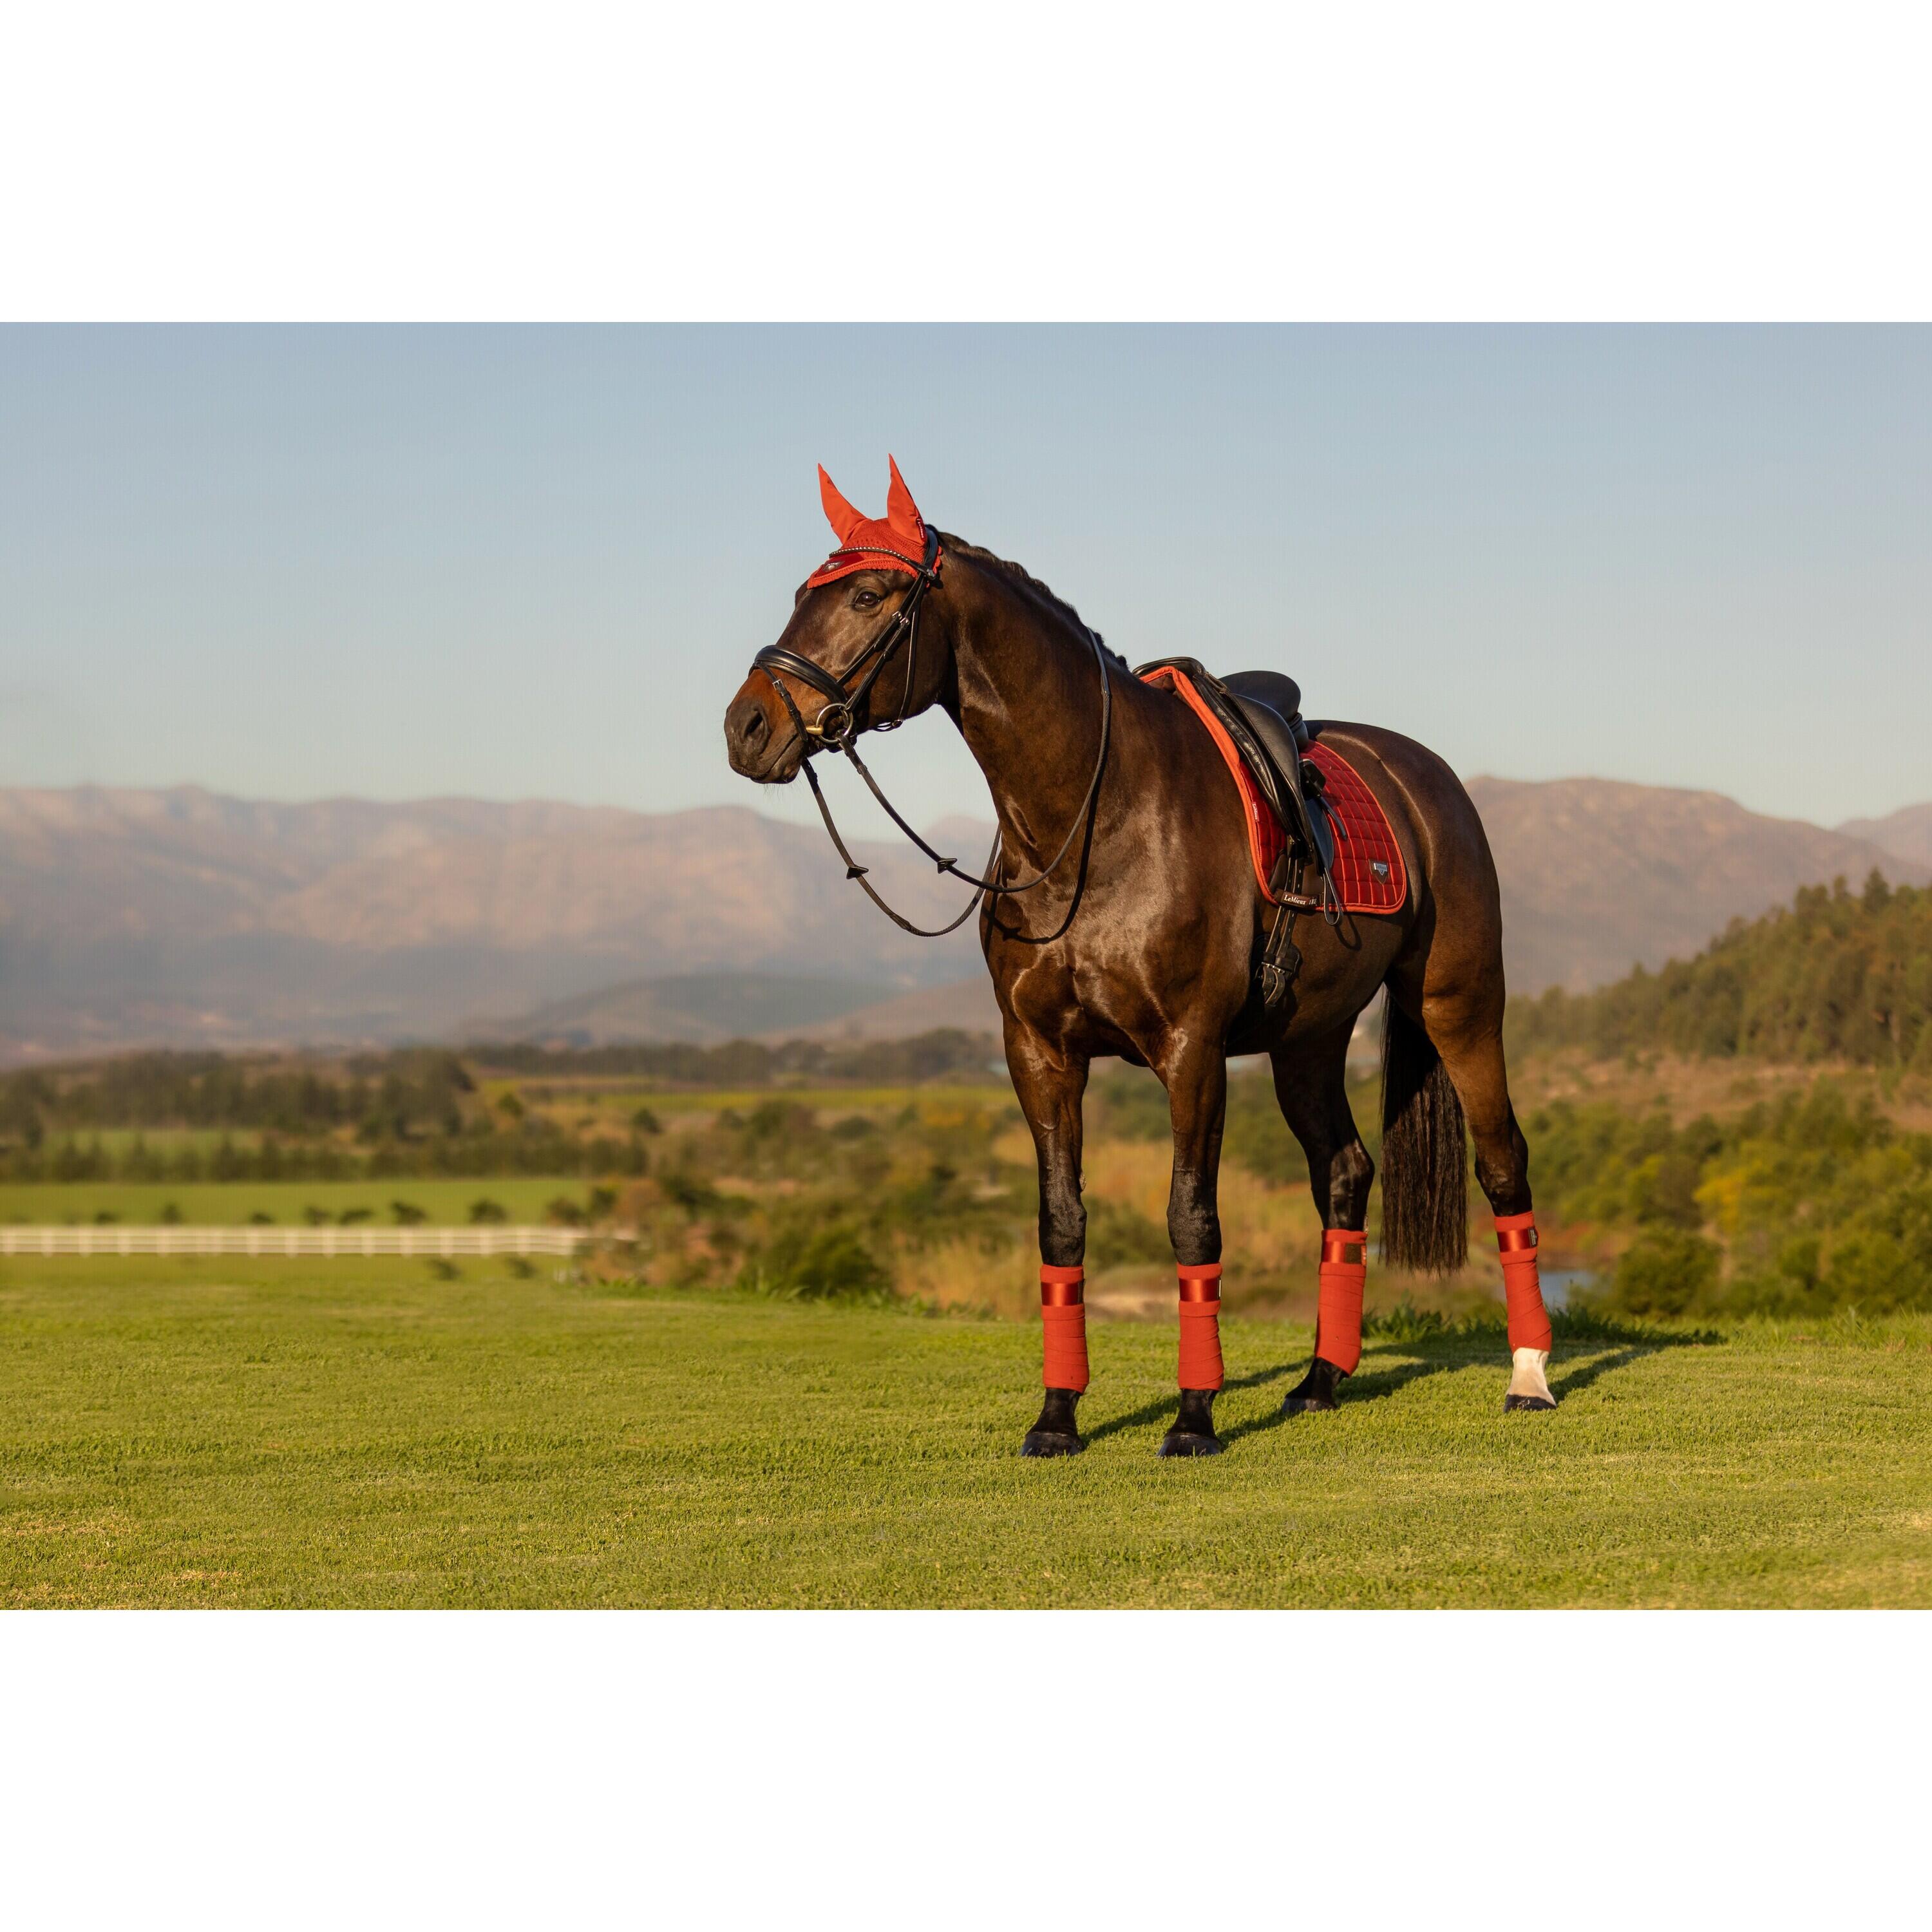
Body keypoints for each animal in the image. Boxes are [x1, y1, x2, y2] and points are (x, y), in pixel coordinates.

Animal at [724, 460, 1556, 1456]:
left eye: (866, 594)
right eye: (801, 596)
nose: (747, 726)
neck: (1096, 817)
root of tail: (1423, 777)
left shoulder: (1190, 1052)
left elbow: (1192, 1222)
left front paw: (1194, 1417)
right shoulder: (1040, 1055)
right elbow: (1062, 1225)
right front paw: (1057, 1417)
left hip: (1459, 1007)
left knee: (1503, 1162)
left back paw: (1531, 1376)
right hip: (1307, 1041)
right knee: (1345, 1173)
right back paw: (1321, 1380)